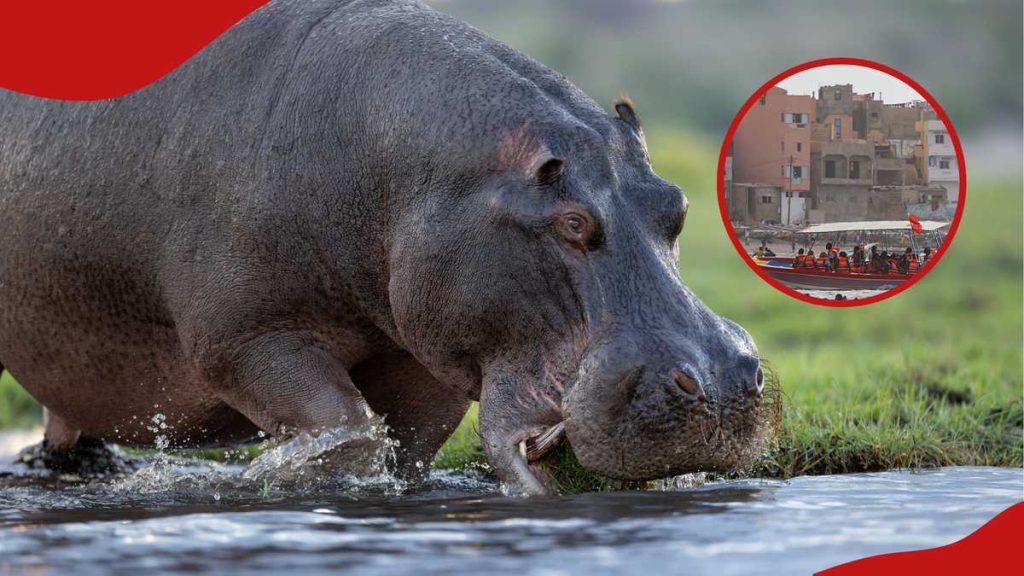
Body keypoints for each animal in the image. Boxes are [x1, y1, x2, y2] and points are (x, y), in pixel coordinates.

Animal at [0, 0, 767, 494]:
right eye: (573, 223)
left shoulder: (426, 356)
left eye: (677, 205)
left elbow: (406, 453)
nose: (723, 386)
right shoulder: (244, 335)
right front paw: (274, 476)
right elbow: (349, 429)